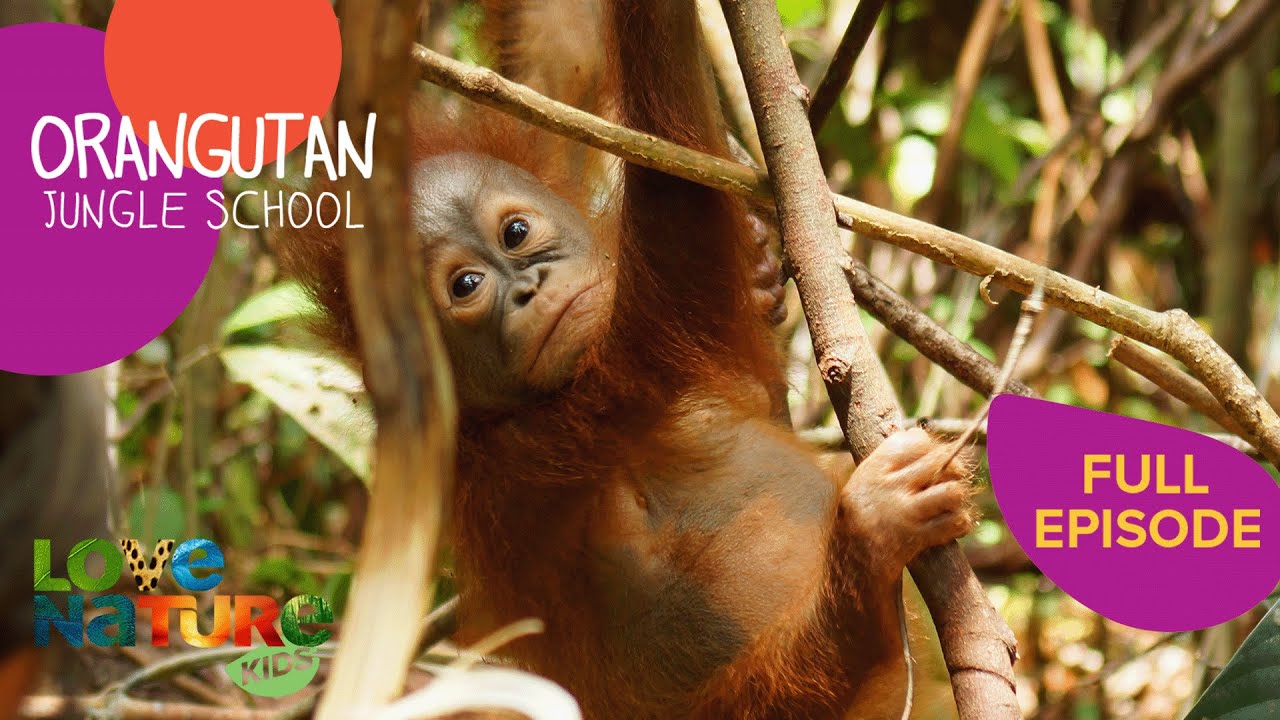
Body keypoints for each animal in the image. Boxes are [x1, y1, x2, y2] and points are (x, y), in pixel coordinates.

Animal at [284, 1, 975, 716]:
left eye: (516, 232)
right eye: (466, 286)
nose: (528, 290)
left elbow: (564, 53)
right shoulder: (577, 417)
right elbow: (677, 226)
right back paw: (869, 542)